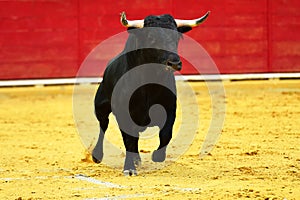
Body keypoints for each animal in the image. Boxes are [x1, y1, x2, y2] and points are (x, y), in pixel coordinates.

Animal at [91, 12, 209, 175]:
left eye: (176, 37)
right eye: (151, 37)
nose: (175, 63)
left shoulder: (170, 109)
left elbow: (166, 134)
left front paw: (157, 156)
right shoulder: (123, 114)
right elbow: (128, 140)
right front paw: (129, 168)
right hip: (100, 107)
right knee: (103, 126)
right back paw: (97, 155)